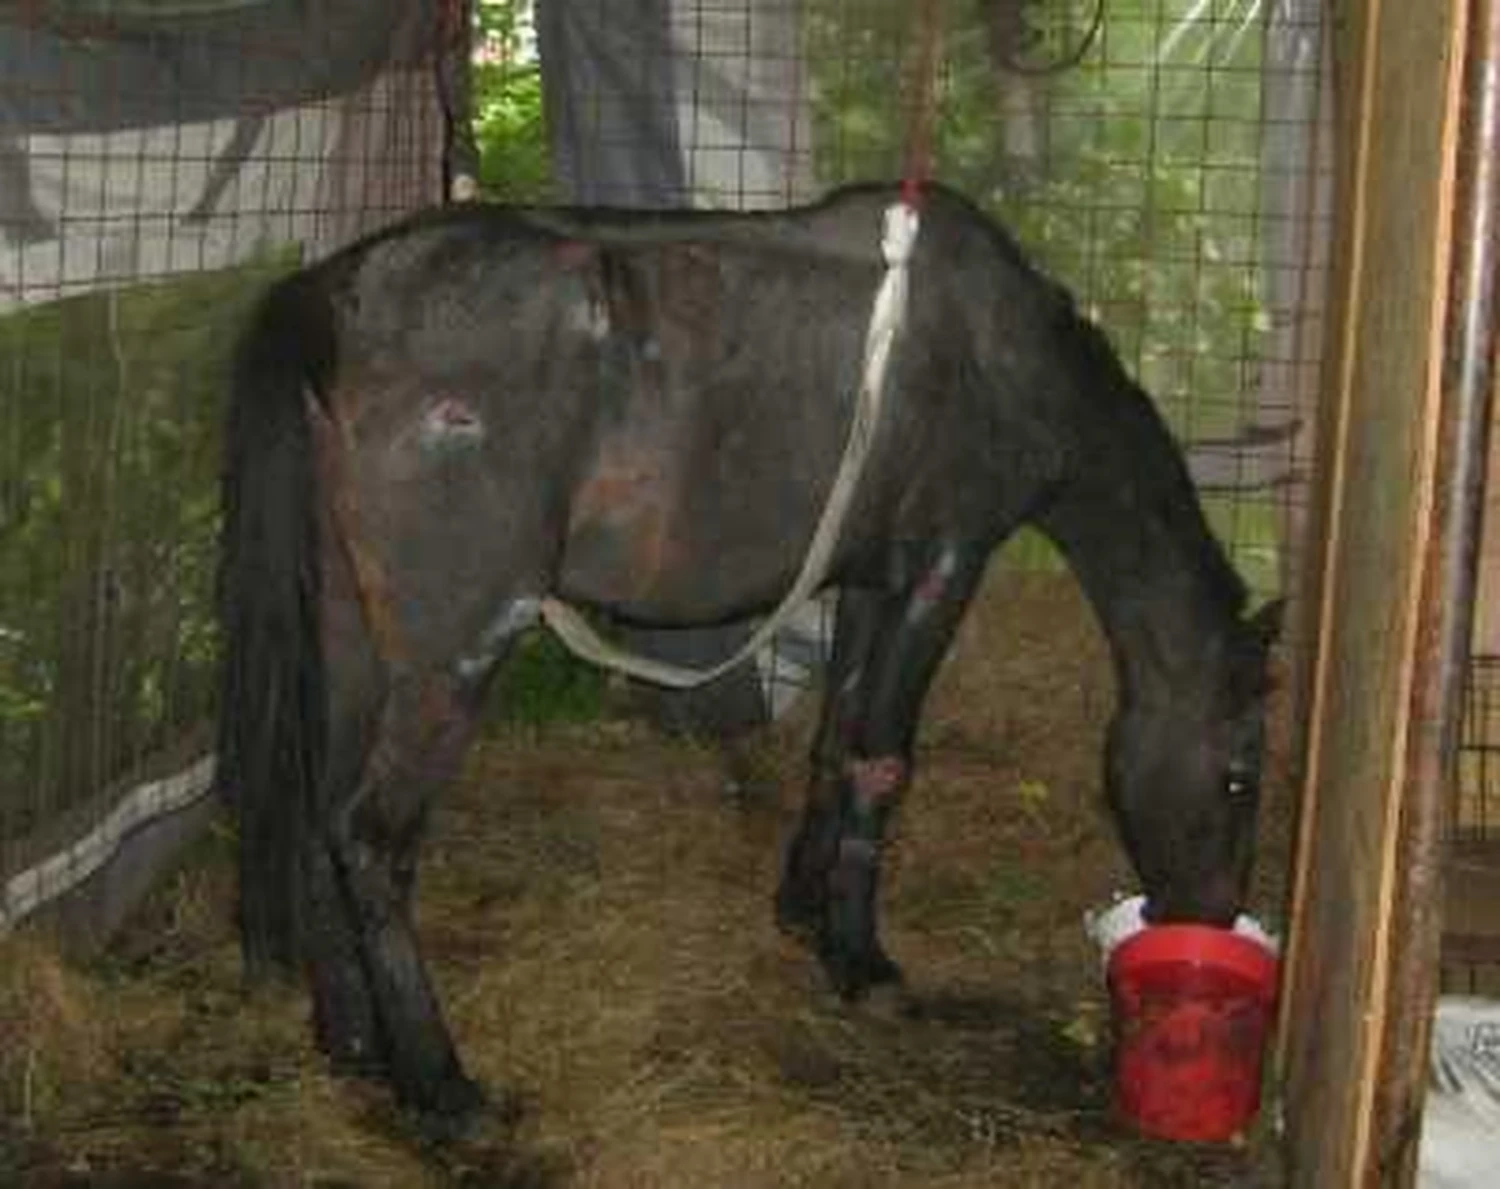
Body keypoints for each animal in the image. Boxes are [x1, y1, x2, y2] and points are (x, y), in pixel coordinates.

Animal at [216, 180, 1281, 1125]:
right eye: (1239, 777)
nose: (1210, 916)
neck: (1001, 352)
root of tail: (330, 298)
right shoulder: (944, 565)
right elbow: (882, 759)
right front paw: (862, 961)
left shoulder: (870, 578)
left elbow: (837, 741)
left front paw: (806, 910)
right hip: (452, 658)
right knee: (372, 837)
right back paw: (441, 1088)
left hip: (353, 643)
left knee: (319, 815)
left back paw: (354, 1041)